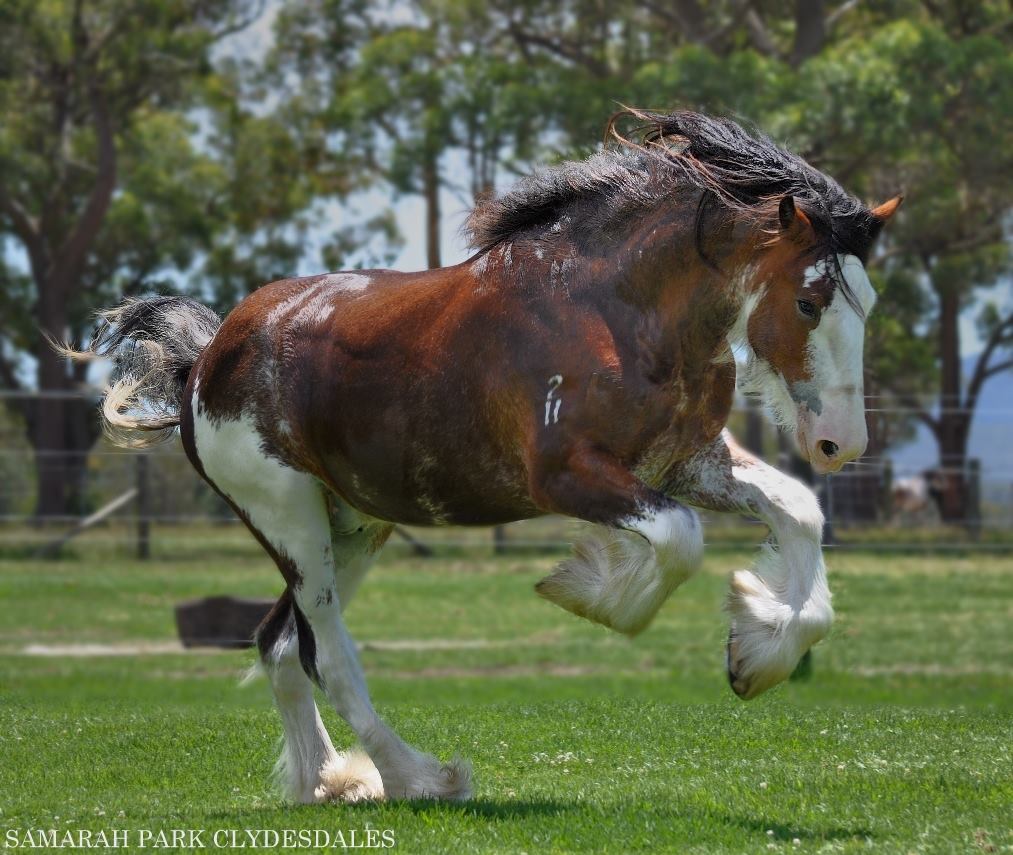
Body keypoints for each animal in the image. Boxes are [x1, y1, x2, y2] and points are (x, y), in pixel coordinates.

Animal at [67, 111, 899, 802]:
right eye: (808, 301)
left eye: (866, 303)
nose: (840, 442)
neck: (613, 310)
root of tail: (207, 359)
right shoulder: (568, 475)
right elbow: (676, 538)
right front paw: (591, 588)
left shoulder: (688, 463)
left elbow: (797, 510)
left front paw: (756, 651)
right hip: (290, 520)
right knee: (324, 654)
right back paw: (420, 777)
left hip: (353, 523)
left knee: (278, 645)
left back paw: (330, 781)